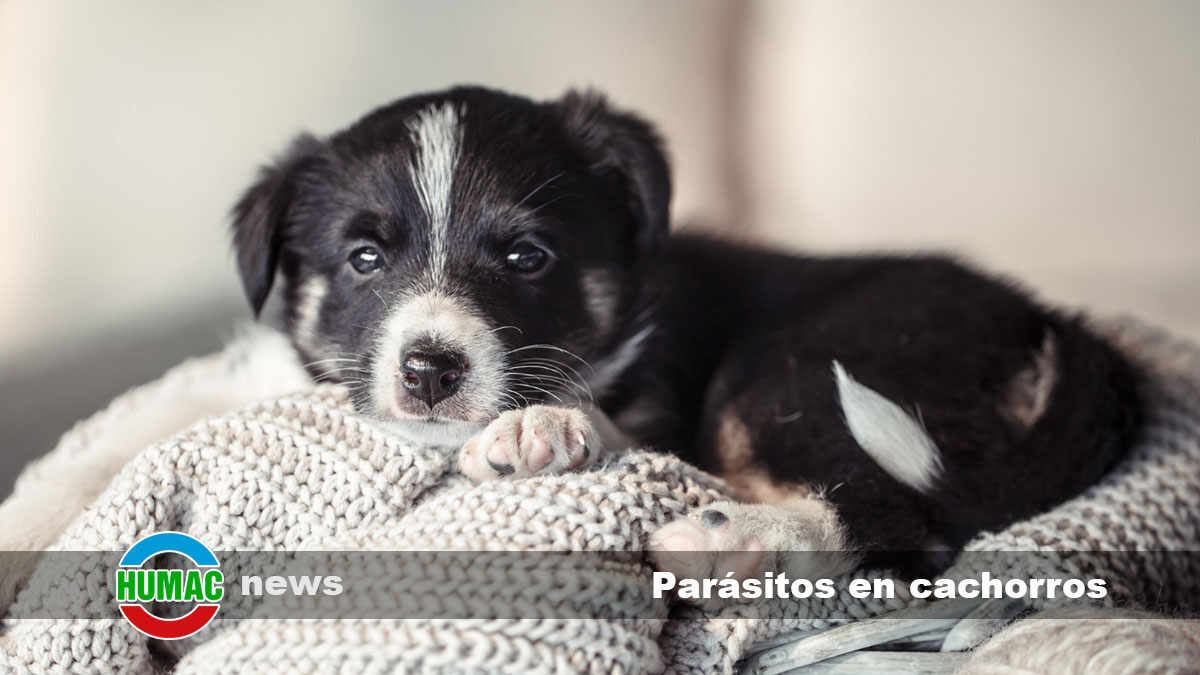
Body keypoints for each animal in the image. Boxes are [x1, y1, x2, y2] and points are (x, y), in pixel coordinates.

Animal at [229, 84, 1137, 578]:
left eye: (526, 256)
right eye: (364, 258)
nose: (429, 369)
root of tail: (1048, 320)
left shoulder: (668, 394)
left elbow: (627, 425)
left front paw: (538, 426)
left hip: (796, 363)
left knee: (893, 512)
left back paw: (729, 540)